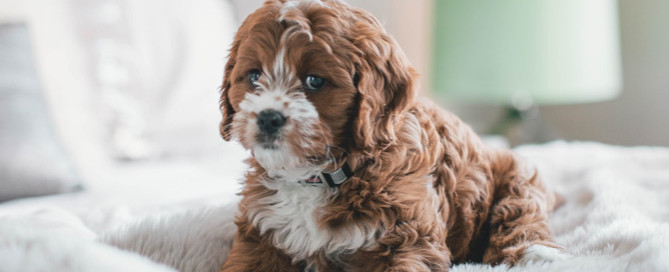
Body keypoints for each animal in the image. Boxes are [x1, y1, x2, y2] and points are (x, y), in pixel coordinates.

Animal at [218, 1, 564, 270]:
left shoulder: (410, 238)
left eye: (314, 80)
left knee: (521, 213)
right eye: (254, 76)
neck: (319, 175)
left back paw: (538, 256)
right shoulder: (260, 236)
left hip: (518, 176)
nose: (268, 117)